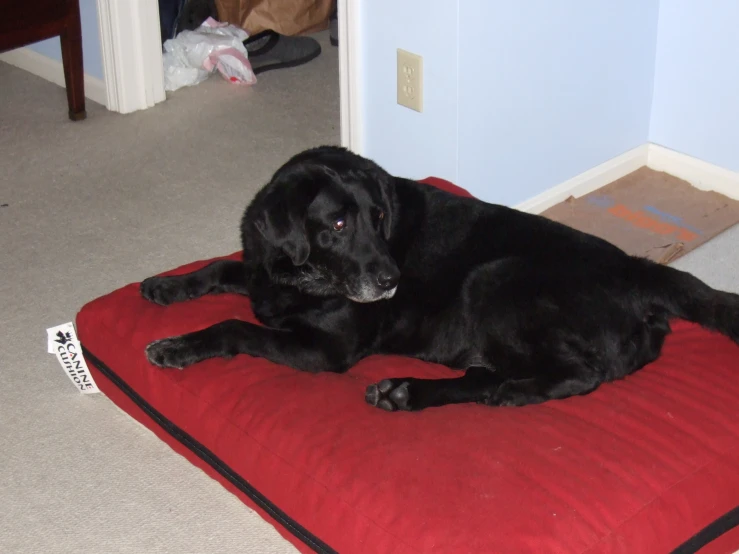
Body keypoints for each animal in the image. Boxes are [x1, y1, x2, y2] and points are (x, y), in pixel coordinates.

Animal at [143, 147, 739, 410]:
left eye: (379, 217)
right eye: (337, 223)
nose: (392, 279)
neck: (300, 273)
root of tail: (638, 270)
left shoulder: (325, 351)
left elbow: (234, 328)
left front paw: (176, 346)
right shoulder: (263, 273)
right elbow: (222, 269)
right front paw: (166, 286)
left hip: (492, 280)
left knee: (578, 373)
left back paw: (512, 394)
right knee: (481, 376)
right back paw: (406, 391)